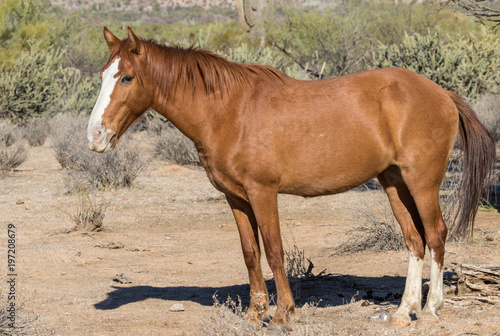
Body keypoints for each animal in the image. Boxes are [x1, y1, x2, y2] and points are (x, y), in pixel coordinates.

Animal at [87, 26, 496, 330]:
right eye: (104, 75)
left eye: (127, 77)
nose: (94, 136)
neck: (227, 111)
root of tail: (442, 93)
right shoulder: (236, 197)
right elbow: (250, 253)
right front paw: (255, 314)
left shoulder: (263, 192)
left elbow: (274, 250)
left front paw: (284, 314)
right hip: (394, 182)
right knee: (414, 240)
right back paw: (401, 312)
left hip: (422, 183)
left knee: (436, 235)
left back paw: (429, 311)